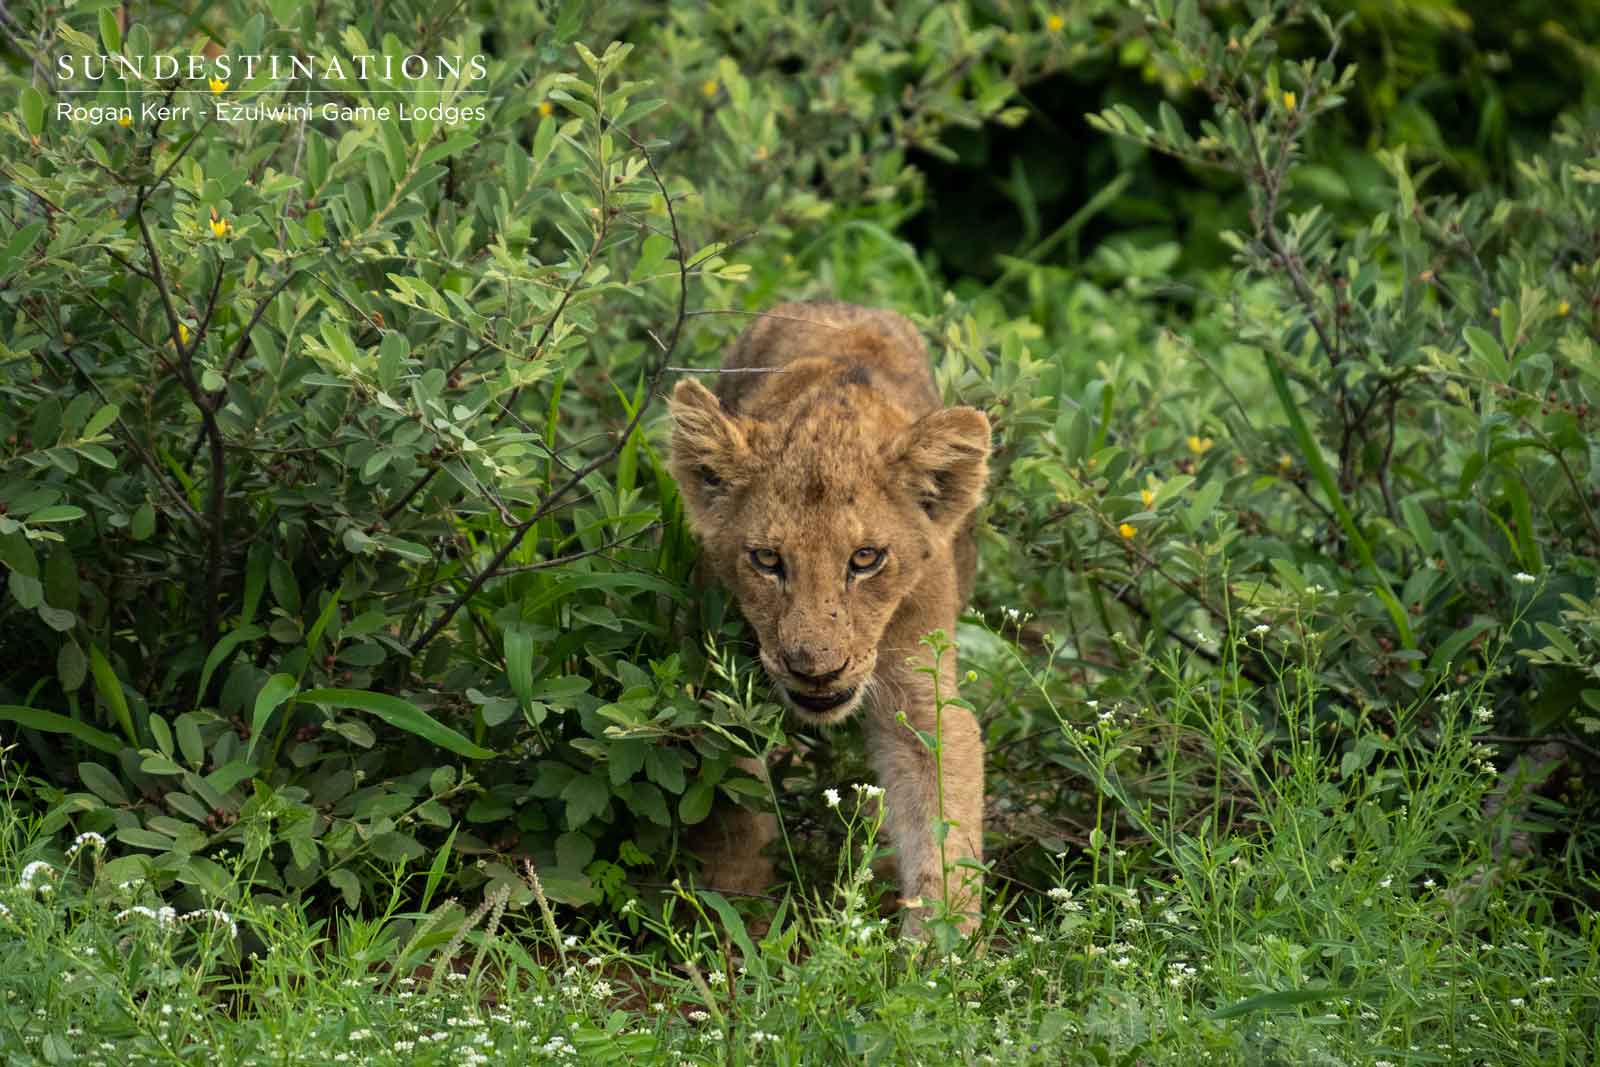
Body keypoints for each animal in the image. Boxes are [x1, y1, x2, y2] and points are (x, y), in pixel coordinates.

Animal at [667, 300, 990, 935]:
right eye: (767, 560)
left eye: (865, 559)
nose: (815, 669)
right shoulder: (726, 670)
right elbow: (735, 800)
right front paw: (739, 916)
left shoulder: (923, 690)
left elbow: (941, 826)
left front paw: (937, 946)